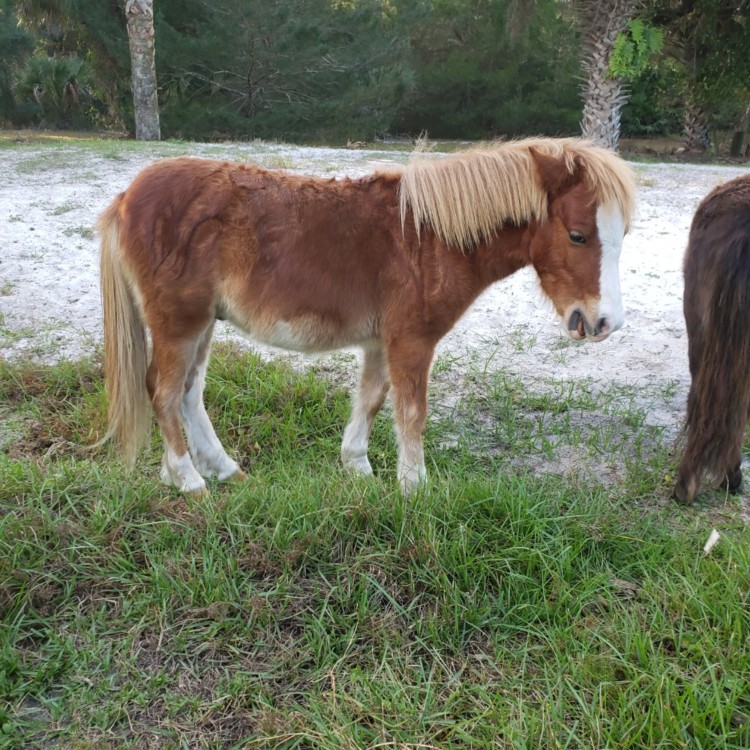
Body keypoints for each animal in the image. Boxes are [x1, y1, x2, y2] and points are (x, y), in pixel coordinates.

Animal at [97, 138, 636, 496]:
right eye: (578, 235)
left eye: (622, 233)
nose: (604, 323)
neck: (428, 239)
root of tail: (126, 198)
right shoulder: (412, 342)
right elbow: (412, 412)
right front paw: (415, 490)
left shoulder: (382, 341)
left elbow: (372, 398)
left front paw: (357, 466)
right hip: (180, 323)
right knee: (164, 393)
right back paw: (189, 481)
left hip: (203, 322)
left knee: (188, 395)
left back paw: (218, 470)